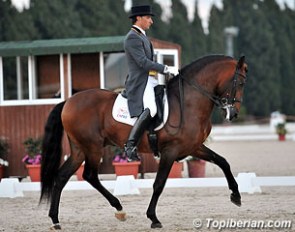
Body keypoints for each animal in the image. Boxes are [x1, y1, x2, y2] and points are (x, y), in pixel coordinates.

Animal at [38, 54, 247, 230]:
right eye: (240, 82)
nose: (234, 114)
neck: (188, 102)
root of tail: (68, 101)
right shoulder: (170, 151)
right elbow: (159, 183)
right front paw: (153, 218)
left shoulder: (193, 147)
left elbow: (222, 162)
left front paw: (236, 195)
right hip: (93, 148)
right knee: (90, 175)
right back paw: (119, 209)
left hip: (80, 149)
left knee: (61, 177)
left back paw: (55, 220)